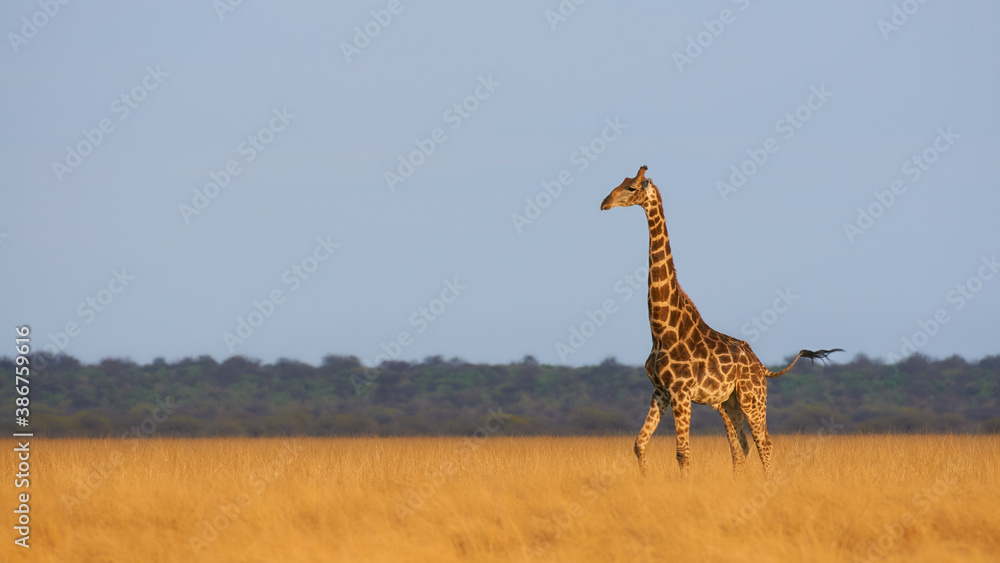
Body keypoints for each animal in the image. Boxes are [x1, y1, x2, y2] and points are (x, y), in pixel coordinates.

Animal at [600, 165, 841, 478]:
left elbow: (683, 453)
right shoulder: (660, 391)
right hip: (728, 403)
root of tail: (761, 366)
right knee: (741, 448)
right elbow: (639, 444)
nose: (604, 202)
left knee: (764, 443)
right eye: (621, 182)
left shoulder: (680, 391)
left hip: (753, 398)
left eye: (631, 187)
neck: (662, 329)